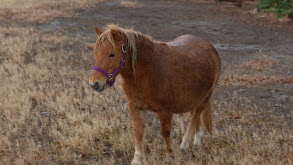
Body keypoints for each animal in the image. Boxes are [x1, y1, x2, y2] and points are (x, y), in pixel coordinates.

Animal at [88, 24, 220, 165]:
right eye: (96, 53)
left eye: (112, 54)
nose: (94, 83)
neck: (149, 70)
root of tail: (209, 46)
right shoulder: (135, 107)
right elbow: (138, 132)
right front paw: (137, 159)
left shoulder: (164, 111)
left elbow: (165, 132)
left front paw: (170, 154)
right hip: (194, 98)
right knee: (196, 117)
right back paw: (197, 140)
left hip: (205, 97)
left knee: (195, 117)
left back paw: (185, 144)